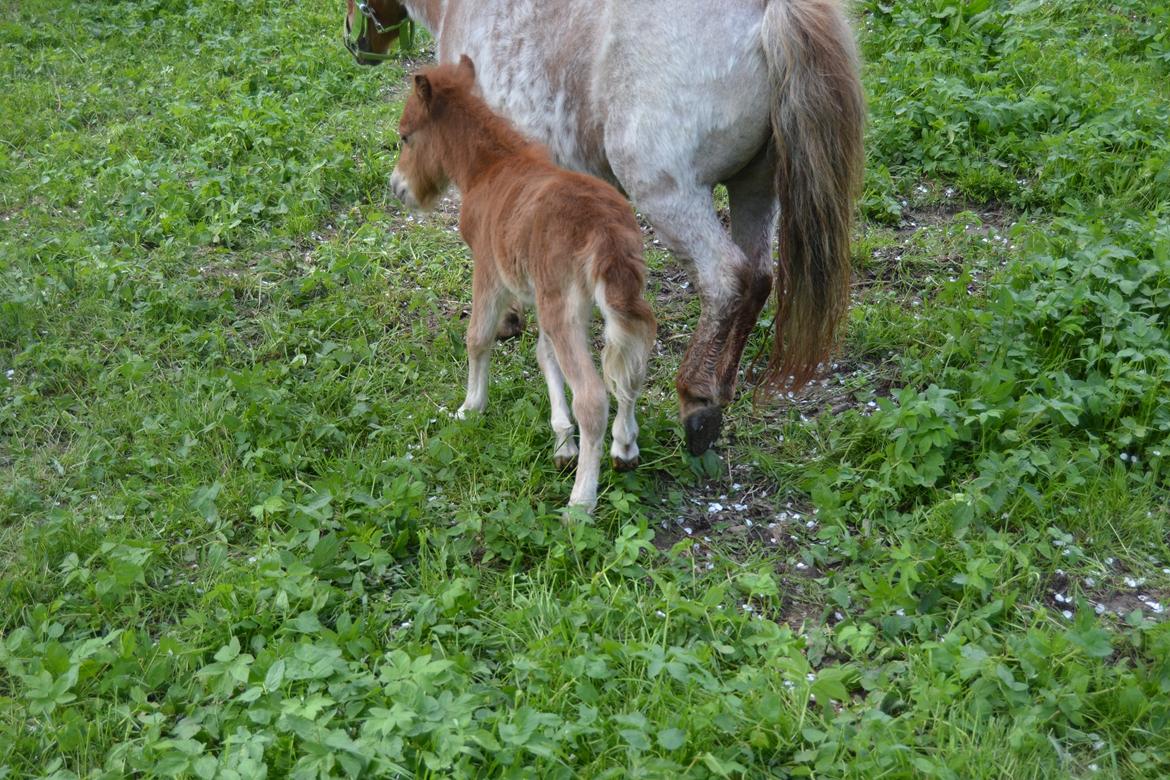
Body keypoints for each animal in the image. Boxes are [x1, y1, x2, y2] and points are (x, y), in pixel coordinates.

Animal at [388, 57, 655, 514]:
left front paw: (471, 407)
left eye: (406, 136)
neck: (490, 167)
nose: (397, 187)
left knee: (593, 395)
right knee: (629, 367)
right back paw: (624, 449)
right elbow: (544, 355)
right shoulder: (536, 294)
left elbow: (478, 337)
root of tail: (605, 232)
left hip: (562, 305)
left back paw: (580, 503)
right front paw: (562, 440)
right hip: (613, 298)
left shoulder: (489, 271)